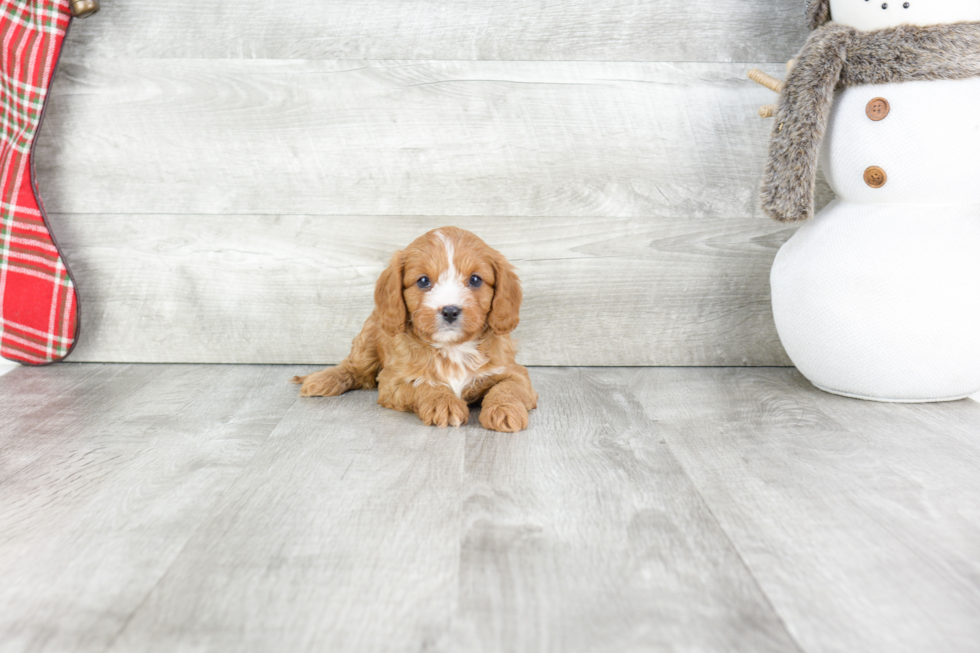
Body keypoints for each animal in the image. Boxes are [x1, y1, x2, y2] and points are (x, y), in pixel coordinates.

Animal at [292, 227, 536, 430]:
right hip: (368, 340)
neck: (453, 347)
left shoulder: (514, 372)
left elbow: (507, 388)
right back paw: (323, 380)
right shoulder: (393, 381)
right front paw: (443, 403)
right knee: (353, 368)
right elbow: (422, 384)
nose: (450, 311)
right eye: (423, 281)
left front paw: (504, 410)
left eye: (475, 280)